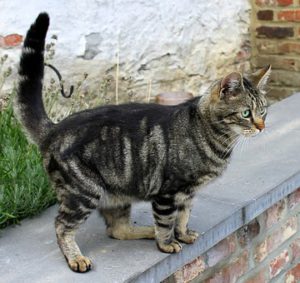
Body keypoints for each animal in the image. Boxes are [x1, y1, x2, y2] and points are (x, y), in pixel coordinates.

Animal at [15, 12, 270, 272]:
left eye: (263, 111)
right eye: (246, 113)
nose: (262, 126)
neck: (211, 136)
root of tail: (54, 128)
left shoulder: (187, 194)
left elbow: (183, 216)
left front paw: (183, 234)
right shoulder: (168, 192)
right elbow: (167, 221)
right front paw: (167, 244)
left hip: (117, 194)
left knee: (117, 229)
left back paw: (146, 231)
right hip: (83, 193)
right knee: (62, 226)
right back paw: (76, 257)